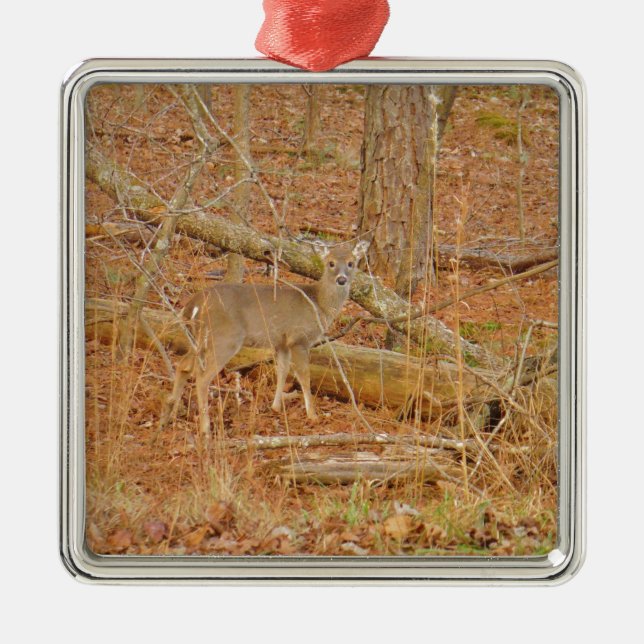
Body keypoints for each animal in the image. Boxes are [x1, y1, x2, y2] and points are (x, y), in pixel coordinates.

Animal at [158, 239, 370, 435]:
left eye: (351, 263)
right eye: (331, 263)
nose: (342, 279)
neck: (319, 305)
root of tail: (194, 303)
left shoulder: (282, 342)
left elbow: (282, 370)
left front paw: (275, 407)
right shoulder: (298, 338)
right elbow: (304, 376)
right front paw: (313, 415)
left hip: (199, 339)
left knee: (183, 365)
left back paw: (171, 413)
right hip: (225, 338)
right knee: (202, 377)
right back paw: (205, 428)